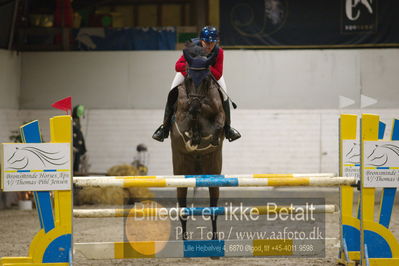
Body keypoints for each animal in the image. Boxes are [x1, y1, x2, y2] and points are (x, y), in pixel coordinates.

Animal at [171, 43, 227, 241]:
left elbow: (217, 126)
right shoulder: (181, 116)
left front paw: (210, 139)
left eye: (206, 79)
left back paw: (215, 237)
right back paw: (184, 237)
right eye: (188, 78)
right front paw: (193, 137)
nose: (194, 106)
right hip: (180, 172)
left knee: (213, 207)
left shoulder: (219, 115)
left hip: (213, 172)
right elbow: (188, 124)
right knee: (182, 206)